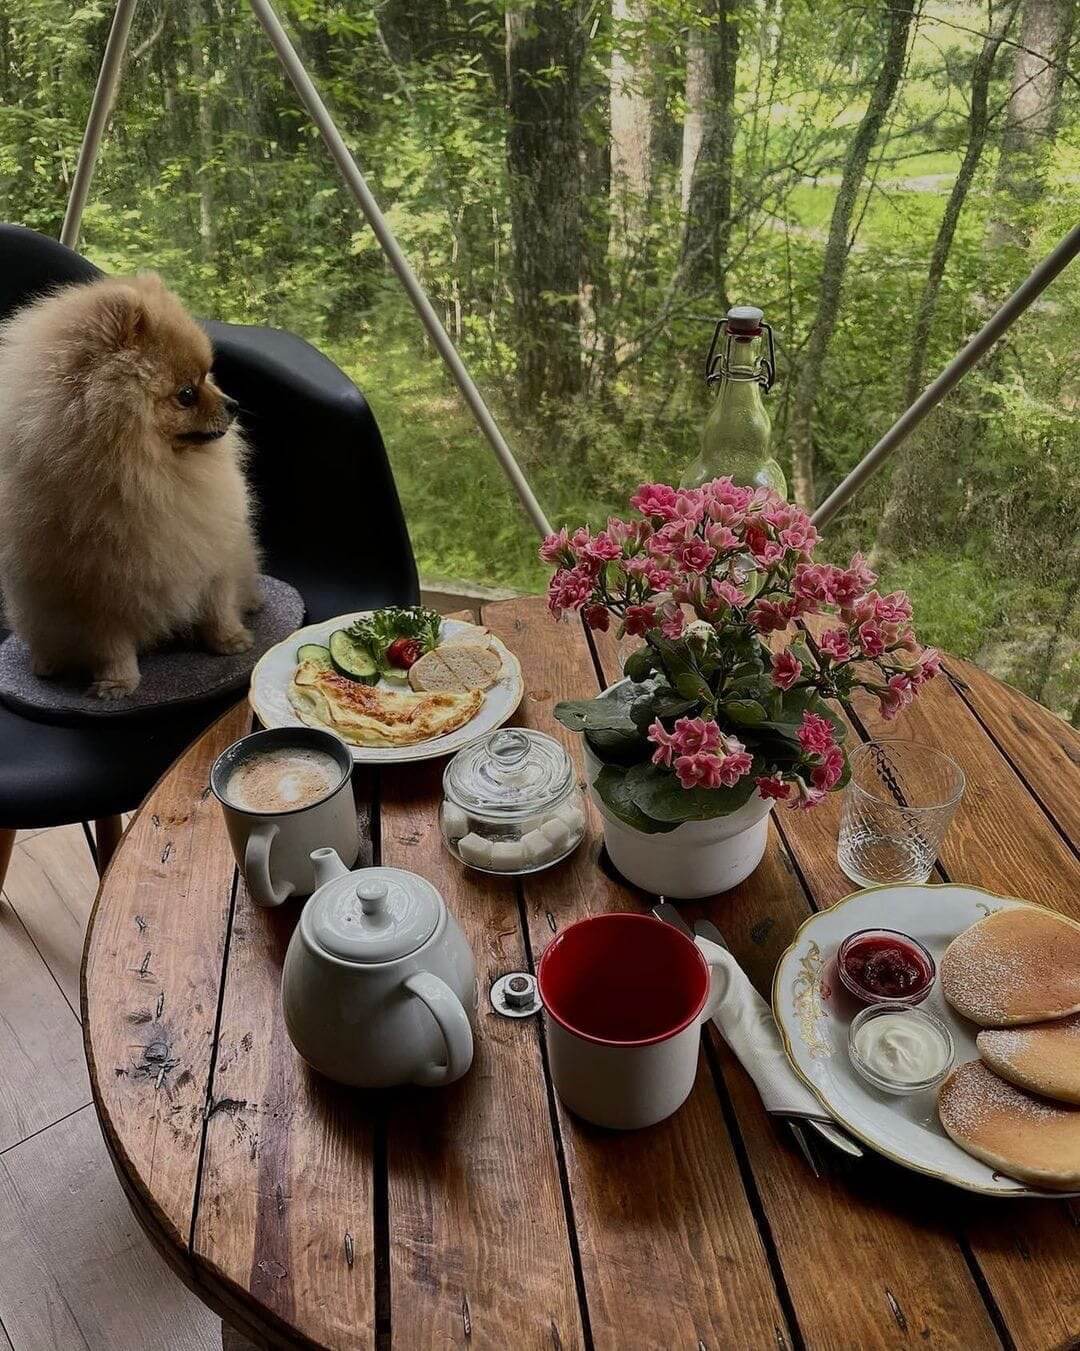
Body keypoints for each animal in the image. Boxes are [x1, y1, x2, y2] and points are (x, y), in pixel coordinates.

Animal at [0, 272, 259, 697]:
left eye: (208, 374)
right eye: (186, 394)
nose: (234, 404)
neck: (151, 477)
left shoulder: (212, 550)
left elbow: (217, 604)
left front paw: (230, 640)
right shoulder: (96, 589)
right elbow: (110, 643)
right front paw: (117, 682)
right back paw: (47, 663)